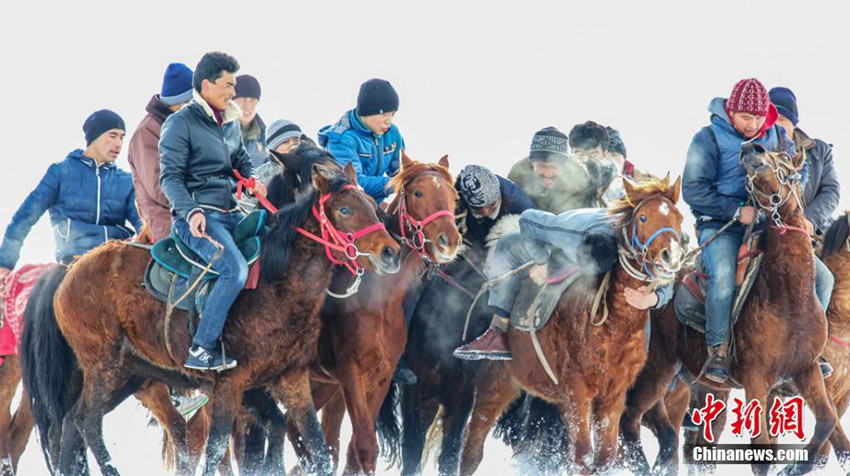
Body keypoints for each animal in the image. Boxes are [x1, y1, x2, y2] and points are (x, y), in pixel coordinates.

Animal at [19, 161, 400, 476]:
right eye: (346, 209)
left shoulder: (290, 380)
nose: (390, 252)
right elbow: (217, 450)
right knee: (89, 424)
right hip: (102, 367)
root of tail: (68, 272)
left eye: (372, 205)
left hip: (128, 374)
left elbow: (318, 451)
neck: (276, 287)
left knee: (72, 423)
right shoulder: (230, 386)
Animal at [284, 153, 460, 476]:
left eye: (454, 197)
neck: (376, 299)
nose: (449, 241)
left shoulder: (381, 375)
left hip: (323, 383)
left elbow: (356, 450)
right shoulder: (350, 370)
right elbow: (365, 444)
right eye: (418, 193)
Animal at [454, 176, 684, 476]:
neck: (614, 328)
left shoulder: (613, 396)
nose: (672, 256)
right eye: (643, 217)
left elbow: (605, 455)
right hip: (494, 381)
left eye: (679, 218)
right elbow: (583, 456)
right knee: (473, 446)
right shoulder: (577, 393)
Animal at [616, 142, 848, 476]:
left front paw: (793, 467)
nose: (753, 149)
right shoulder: (756, 378)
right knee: (631, 418)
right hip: (656, 370)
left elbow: (828, 425)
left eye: (786, 158)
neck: (788, 298)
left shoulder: (808, 370)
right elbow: (763, 451)